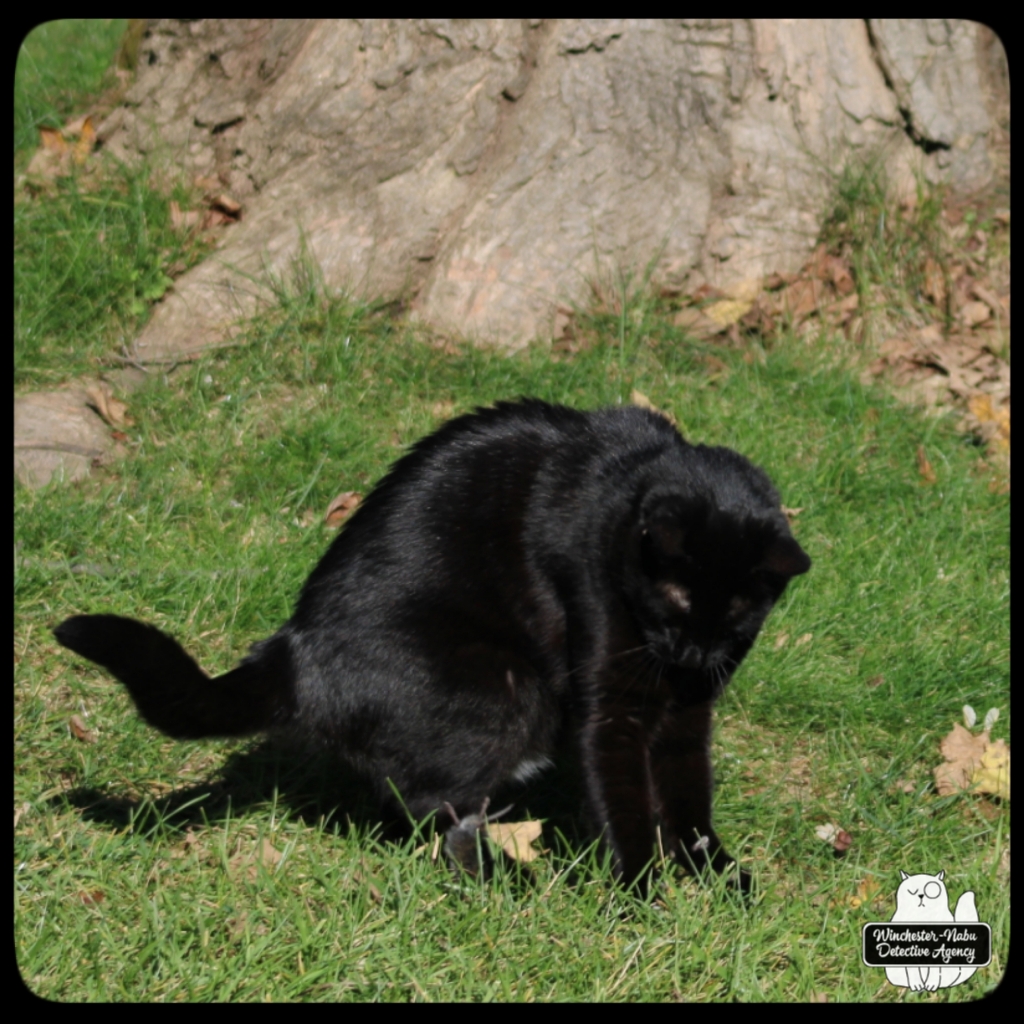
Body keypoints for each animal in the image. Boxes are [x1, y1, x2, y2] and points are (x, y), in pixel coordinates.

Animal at [54, 399, 810, 891]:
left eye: (739, 609)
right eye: (676, 597)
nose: (691, 650)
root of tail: (290, 655)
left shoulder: (688, 711)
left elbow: (687, 794)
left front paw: (714, 875)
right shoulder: (610, 699)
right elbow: (621, 789)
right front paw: (641, 891)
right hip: (508, 687)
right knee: (437, 812)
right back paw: (512, 882)